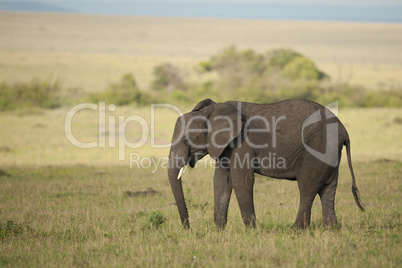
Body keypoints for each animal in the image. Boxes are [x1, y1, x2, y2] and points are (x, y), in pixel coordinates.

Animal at [167, 99, 364, 229]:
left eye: (186, 140)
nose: (188, 228)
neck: (213, 110)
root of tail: (343, 130)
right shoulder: (225, 147)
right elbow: (221, 182)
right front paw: (219, 231)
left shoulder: (242, 144)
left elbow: (241, 181)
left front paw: (252, 231)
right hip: (330, 153)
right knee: (328, 189)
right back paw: (330, 229)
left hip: (318, 150)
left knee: (307, 187)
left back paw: (296, 230)